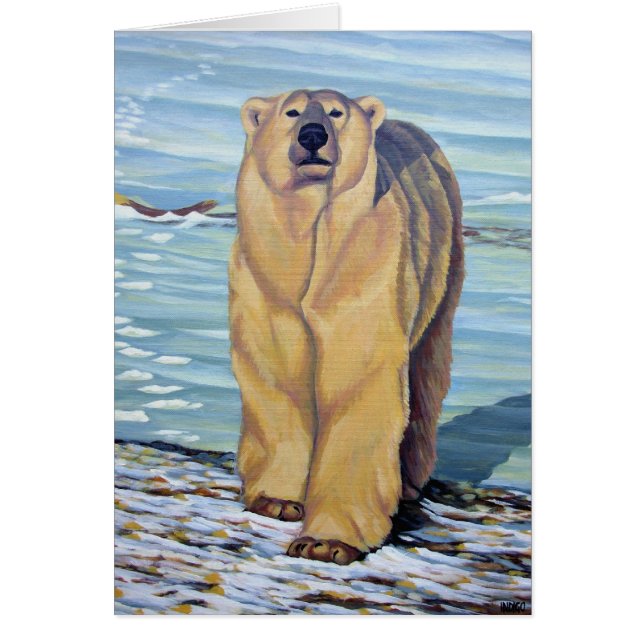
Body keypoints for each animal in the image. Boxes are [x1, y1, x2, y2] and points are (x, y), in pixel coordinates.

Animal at [228, 89, 464, 565]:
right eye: (292, 111)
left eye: (337, 113)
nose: (312, 135)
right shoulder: (265, 278)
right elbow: (279, 372)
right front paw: (277, 501)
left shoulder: (366, 264)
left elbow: (359, 380)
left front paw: (326, 541)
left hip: (443, 264)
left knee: (426, 372)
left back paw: (408, 483)